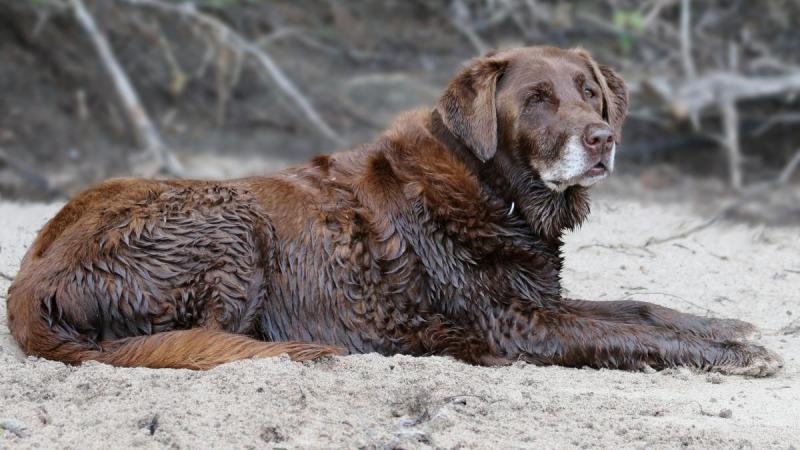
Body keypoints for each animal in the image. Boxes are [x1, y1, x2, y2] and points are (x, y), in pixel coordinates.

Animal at [6, 46, 780, 376]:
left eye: (589, 92)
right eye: (537, 100)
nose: (602, 138)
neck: (494, 188)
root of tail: (30, 281)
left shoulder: (540, 300)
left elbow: (641, 309)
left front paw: (727, 328)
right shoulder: (522, 325)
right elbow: (629, 332)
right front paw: (733, 355)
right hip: (229, 225)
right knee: (207, 339)